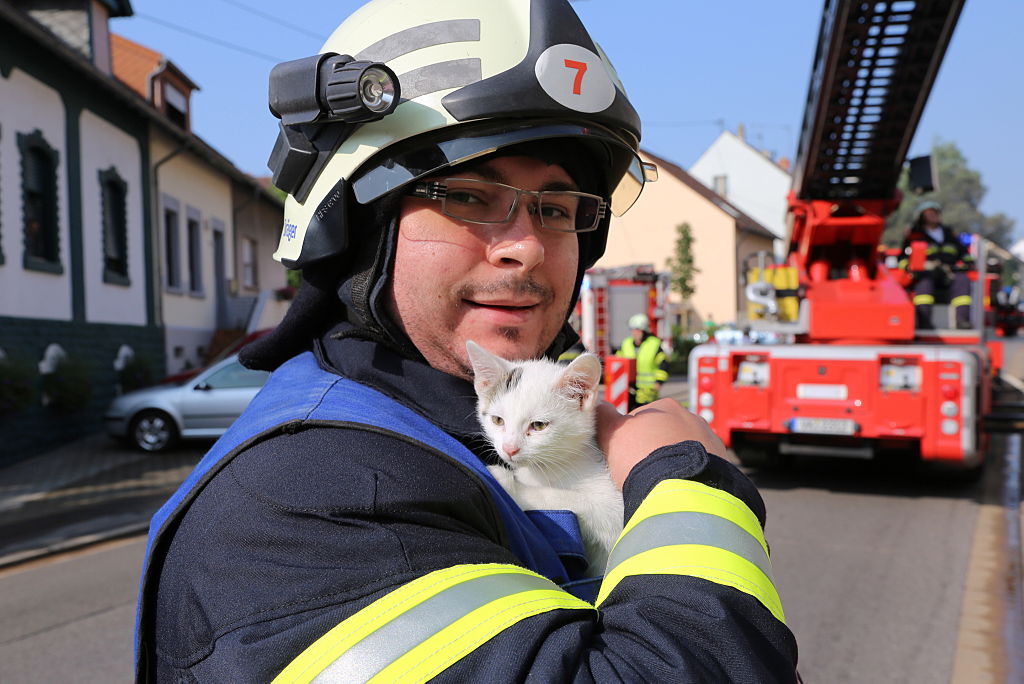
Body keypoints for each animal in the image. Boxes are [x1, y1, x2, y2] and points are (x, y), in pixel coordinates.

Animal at [466, 339, 622, 573]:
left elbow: (568, 499)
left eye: (538, 425)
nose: (509, 448)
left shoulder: (614, 509)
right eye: (498, 420)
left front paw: (511, 486)